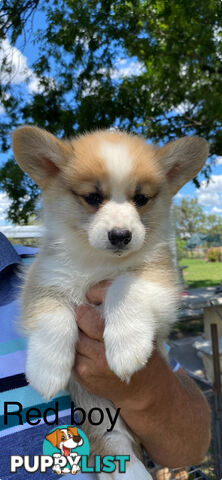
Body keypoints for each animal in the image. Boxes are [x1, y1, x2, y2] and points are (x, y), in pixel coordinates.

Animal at [11, 127, 208, 480]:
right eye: (92, 197)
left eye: (141, 199)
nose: (120, 236)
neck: (98, 262)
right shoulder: (40, 281)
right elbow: (53, 315)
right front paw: (47, 371)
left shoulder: (161, 282)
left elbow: (124, 284)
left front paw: (126, 347)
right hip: (103, 426)